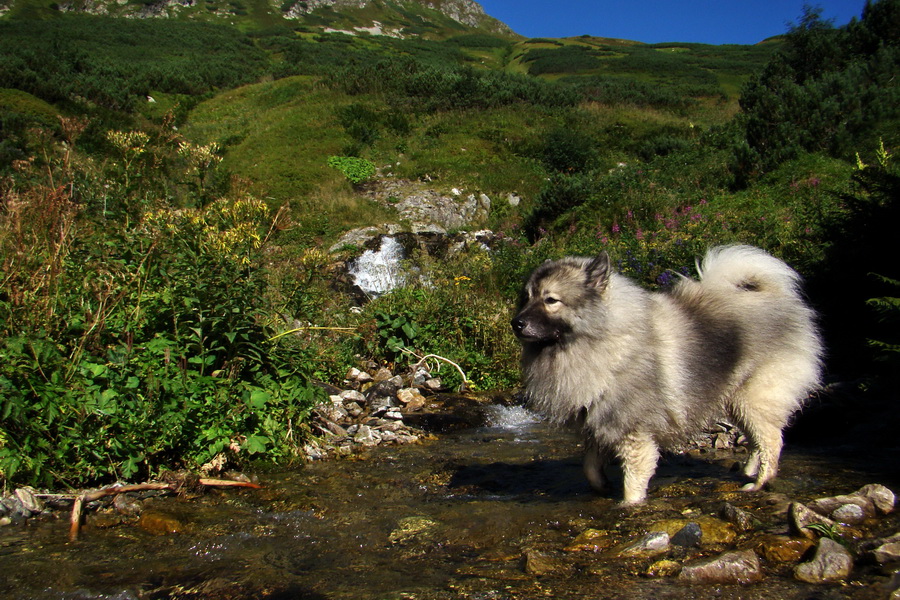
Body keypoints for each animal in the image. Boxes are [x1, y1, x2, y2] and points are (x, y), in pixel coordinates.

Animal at [512, 246, 824, 504]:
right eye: (526, 298)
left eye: (551, 300)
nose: (517, 323)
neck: (600, 338)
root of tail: (777, 297)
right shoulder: (599, 421)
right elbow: (589, 466)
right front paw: (602, 487)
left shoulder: (632, 432)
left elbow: (634, 479)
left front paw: (629, 505)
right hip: (738, 403)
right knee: (758, 442)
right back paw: (748, 471)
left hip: (753, 399)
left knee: (772, 442)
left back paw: (759, 483)